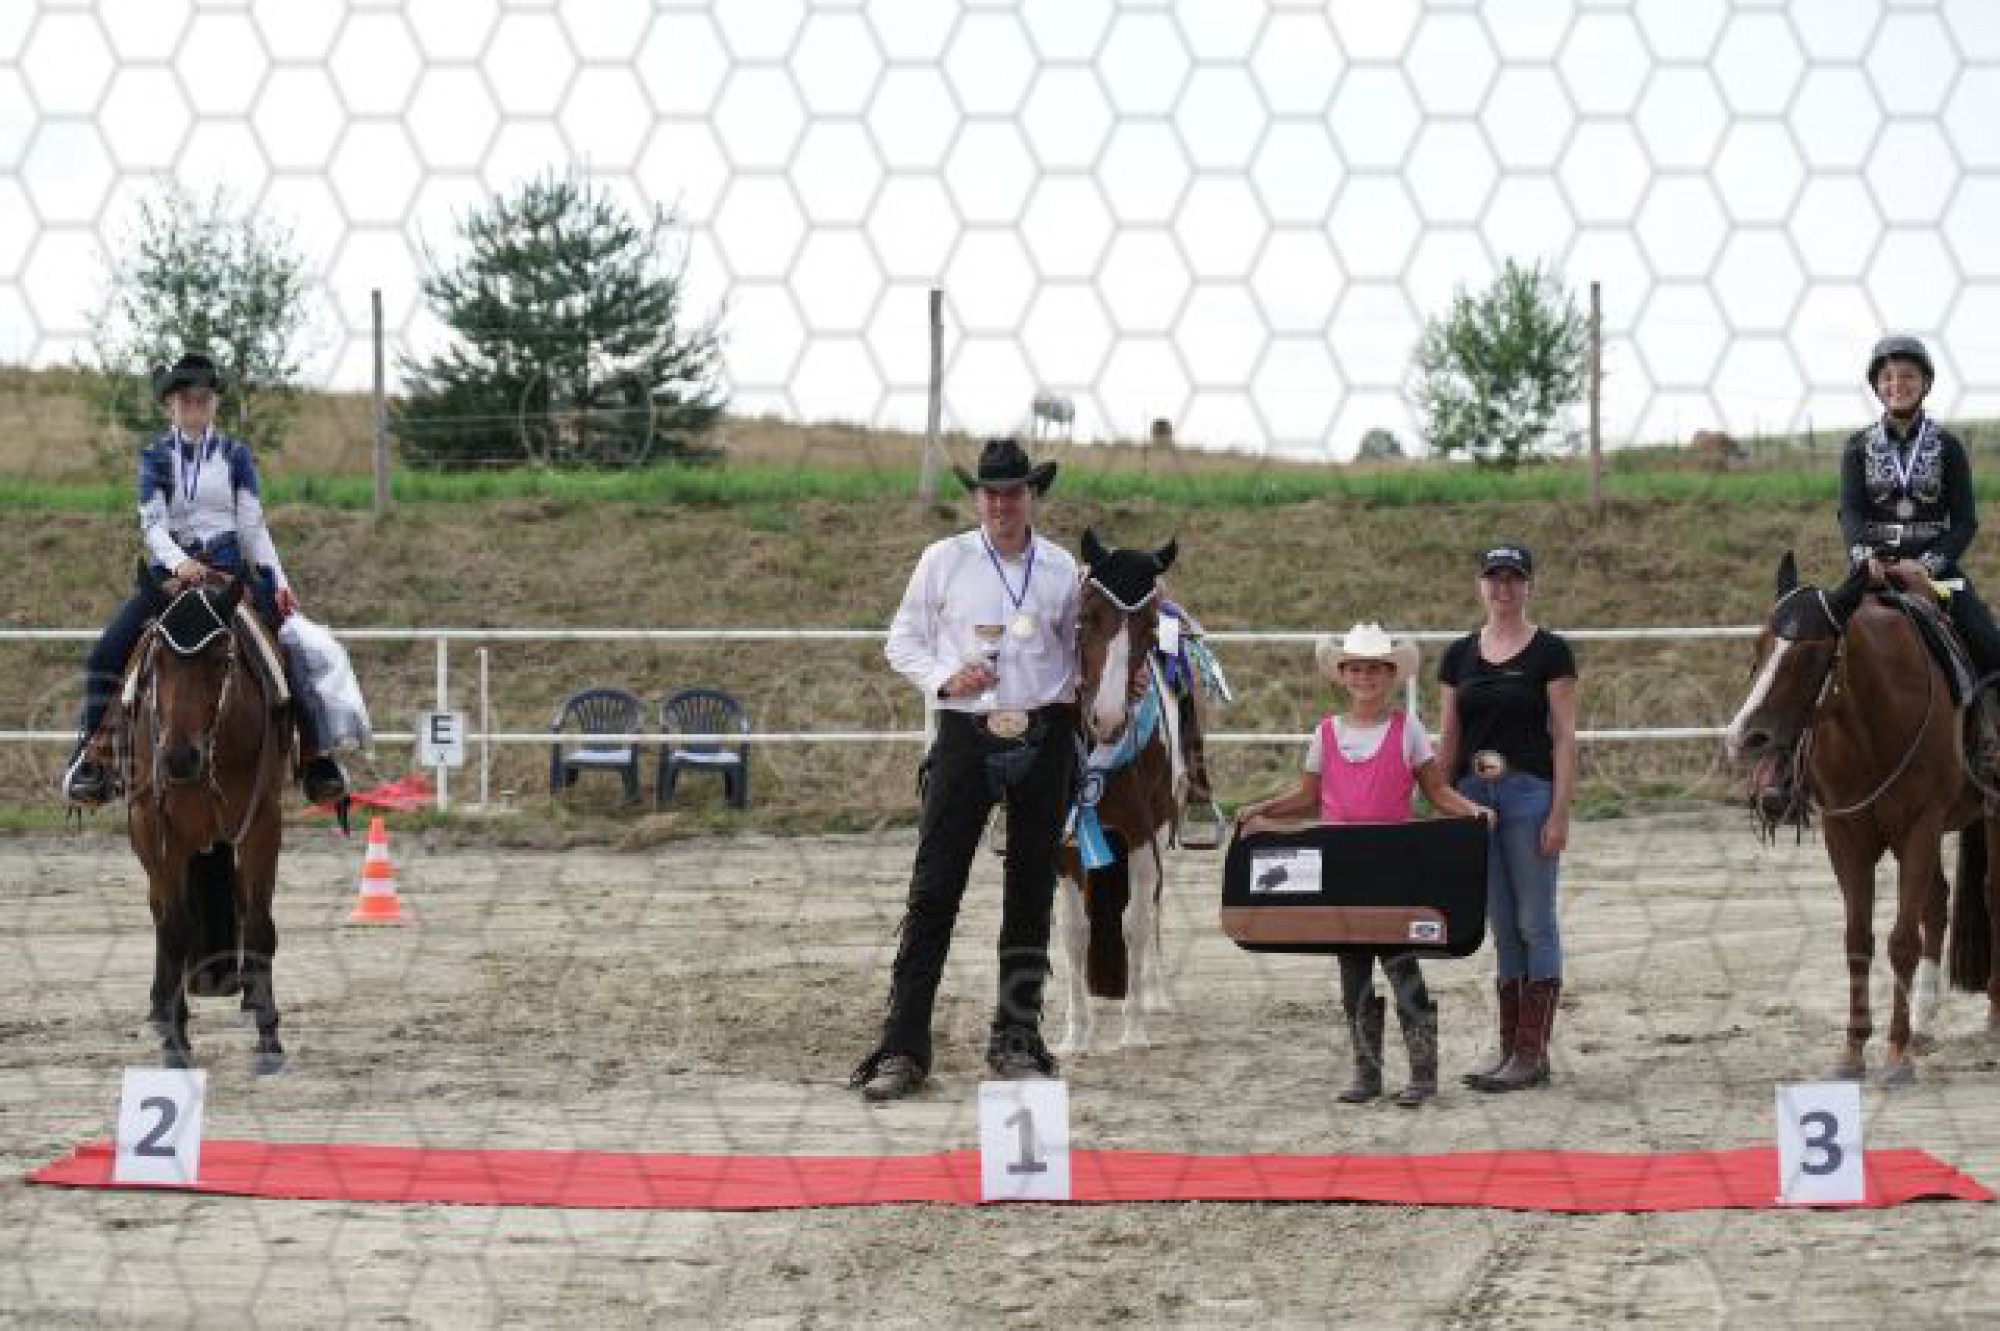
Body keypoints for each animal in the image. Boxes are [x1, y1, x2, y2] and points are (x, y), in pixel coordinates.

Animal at [120, 575, 293, 1073]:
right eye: (157, 660)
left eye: (221, 660)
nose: (179, 757)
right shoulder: (154, 827)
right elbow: (175, 929)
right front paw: (176, 1040)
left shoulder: (263, 823)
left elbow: (259, 925)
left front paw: (269, 1036)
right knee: (161, 912)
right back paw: (159, 1011)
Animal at [1054, 530, 1191, 1054]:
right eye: (1087, 616)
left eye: (1150, 631)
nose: (1108, 718)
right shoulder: (1067, 839)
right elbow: (1075, 931)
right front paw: (1076, 1034)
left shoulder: (1143, 832)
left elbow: (1134, 922)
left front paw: (1134, 1032)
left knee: (1151, 907)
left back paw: (1155, 995)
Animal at [1724, 551, 2000, 1084]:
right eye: (1760, 644)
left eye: (1811, 654)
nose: (1744, 737)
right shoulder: (1845, 835)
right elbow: (1858, 940)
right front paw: (1853, 1053)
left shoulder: (1919, 826)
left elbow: (1901, 942)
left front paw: (1896, 1055)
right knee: (1937, 903)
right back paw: (1924, 1022)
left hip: (1993, 813)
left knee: (1993, 899)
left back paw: (1994, 1020)